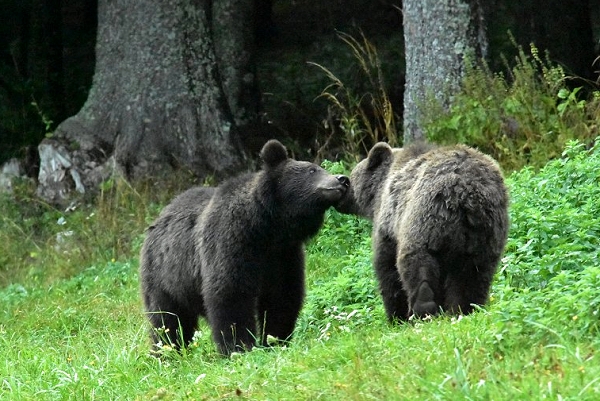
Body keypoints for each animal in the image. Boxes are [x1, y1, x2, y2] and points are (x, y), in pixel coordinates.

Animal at [139, 139, 350, 354]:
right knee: (167, 318)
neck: (267, 227)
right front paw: (239, 346)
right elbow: (230, 294)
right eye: (312, 170)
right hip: (166, 276)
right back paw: (167, 350)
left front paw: (275, 340)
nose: (343, 179)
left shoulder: (284, 255)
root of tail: (156, 221)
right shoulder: (230, 243)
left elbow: (282, 297)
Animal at [336, 142, 508, 320]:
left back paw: (423, 311)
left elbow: (387, 267)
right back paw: (465, 309)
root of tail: (465, 192)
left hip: (424, 220)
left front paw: (396, 316)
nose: (342, 190)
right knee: (473, 275)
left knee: (417, 266)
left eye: (351, 178)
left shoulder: (389, 224)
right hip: (485, 234)